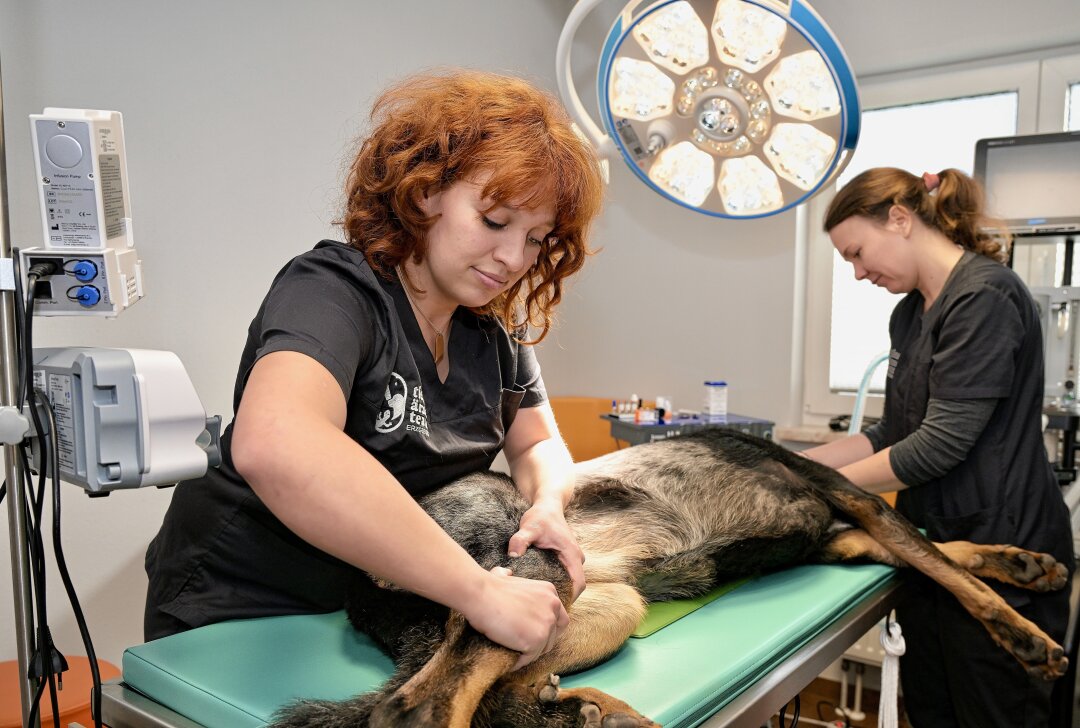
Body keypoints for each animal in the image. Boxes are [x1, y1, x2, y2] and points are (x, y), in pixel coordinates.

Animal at [272, 427, 1071, 725]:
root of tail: (357, 583)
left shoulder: (838, 537)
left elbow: (942, 552)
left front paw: (1023, 562)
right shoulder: (856, 502)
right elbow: (946, 567)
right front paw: (1026, 636)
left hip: (601, 608)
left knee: (500, 692)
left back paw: (588, 711)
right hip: (530, 582)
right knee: (417, 707)